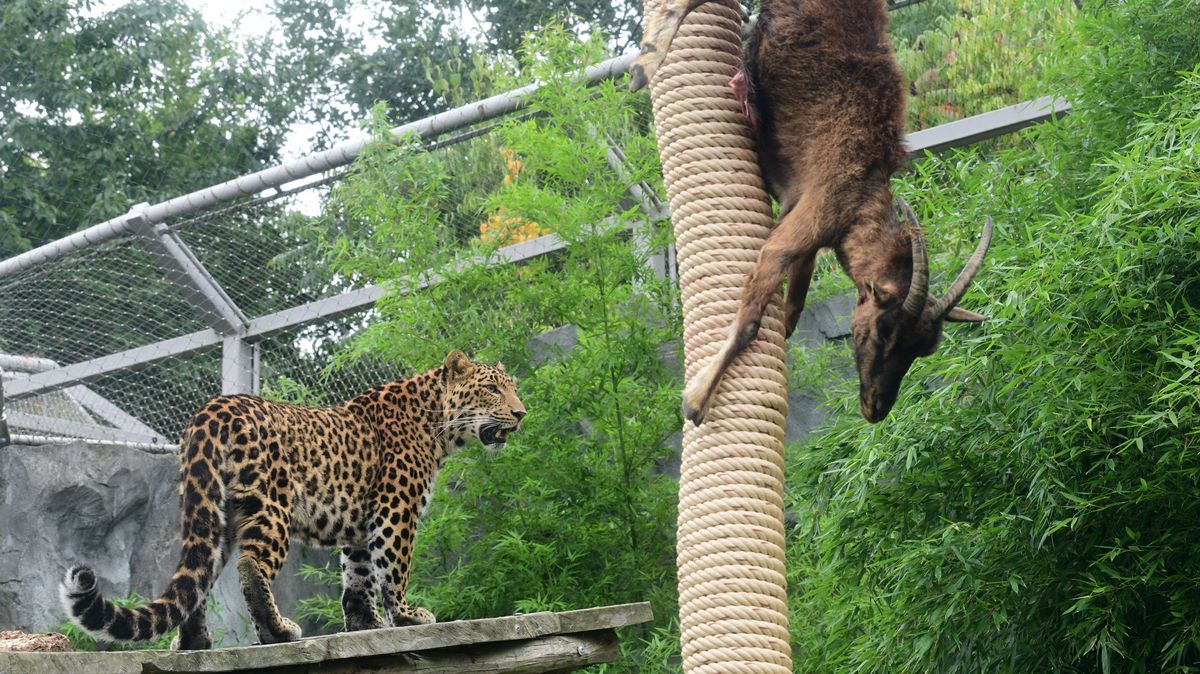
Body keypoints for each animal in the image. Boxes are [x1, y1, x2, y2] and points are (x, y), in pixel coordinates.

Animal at [58, 345, 523, 647]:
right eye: (492, 389)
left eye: (512, 388)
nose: (521, 413)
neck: (437, 422)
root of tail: (212, 409)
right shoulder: (395, 510)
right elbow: (392, 569)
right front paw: (407, 617)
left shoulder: (360, 523)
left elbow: (358, 577)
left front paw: (365, 624)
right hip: (270, 505)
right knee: (250, 567)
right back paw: (277, 630)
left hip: (213, 511)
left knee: (199, 578)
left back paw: (194, 643)